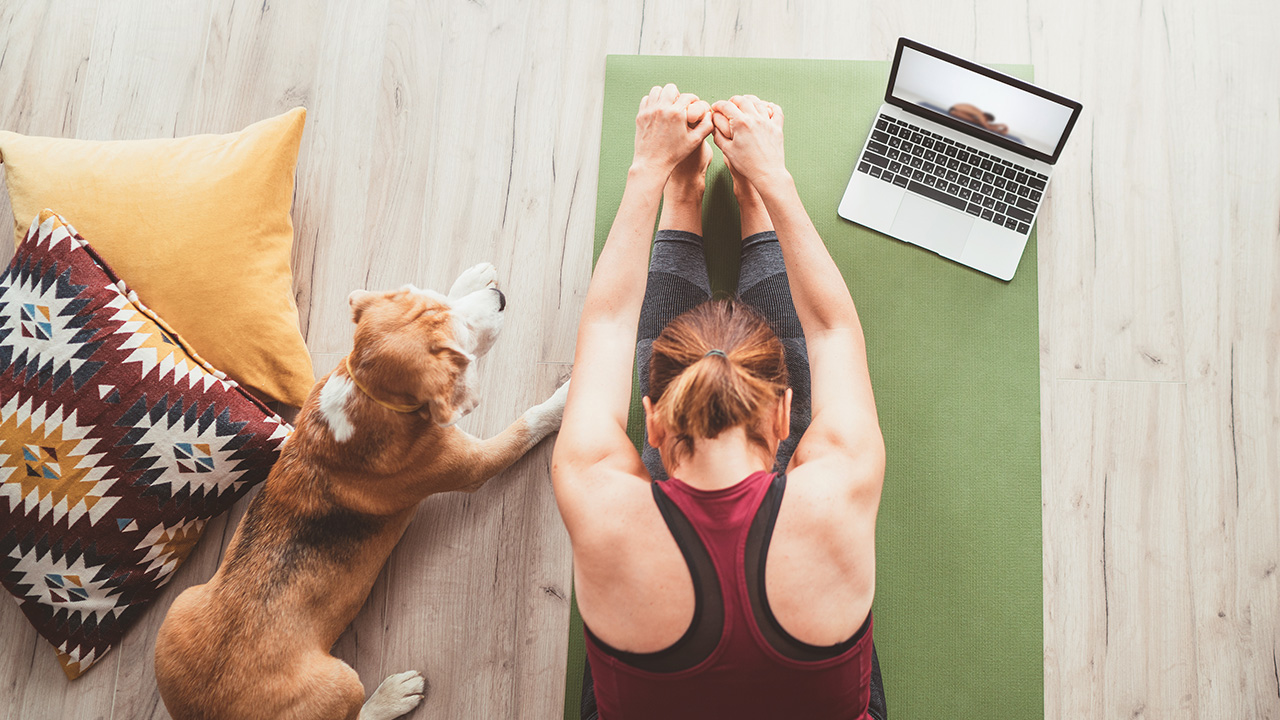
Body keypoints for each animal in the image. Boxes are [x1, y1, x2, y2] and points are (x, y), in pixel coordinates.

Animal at [152, 263, 568, 717]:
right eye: (461, 343)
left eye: (436, 300)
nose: (500, 299)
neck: (367, 391)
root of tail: (203, 710)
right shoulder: (476, 464)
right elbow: (529, 421)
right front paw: (567, 397)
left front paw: (475, 278)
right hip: (341, 682)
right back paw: (393, 695)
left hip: (179, 608)